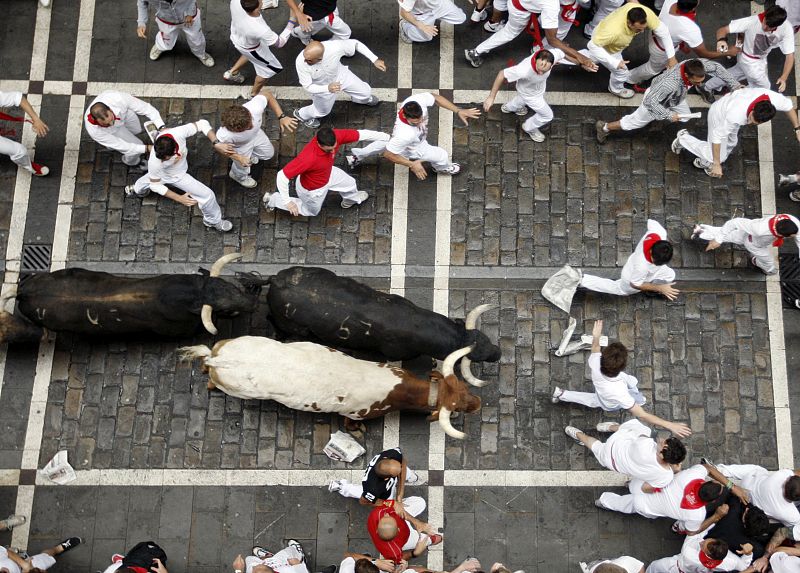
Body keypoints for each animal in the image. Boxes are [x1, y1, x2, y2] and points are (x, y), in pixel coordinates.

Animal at [180, 338, 482, 436]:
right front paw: (357, 432)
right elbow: (351, 424)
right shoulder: (354, 413)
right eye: (457, 406)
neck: (396, 388)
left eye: (464, 388)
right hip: (237, 389)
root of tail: (220, 357)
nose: (478, 404)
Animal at [266, 264, 500, 362]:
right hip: (291, 326)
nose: (497, 353)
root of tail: (276, 279)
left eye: (486, 338)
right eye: (474, 358)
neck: (415, 323)